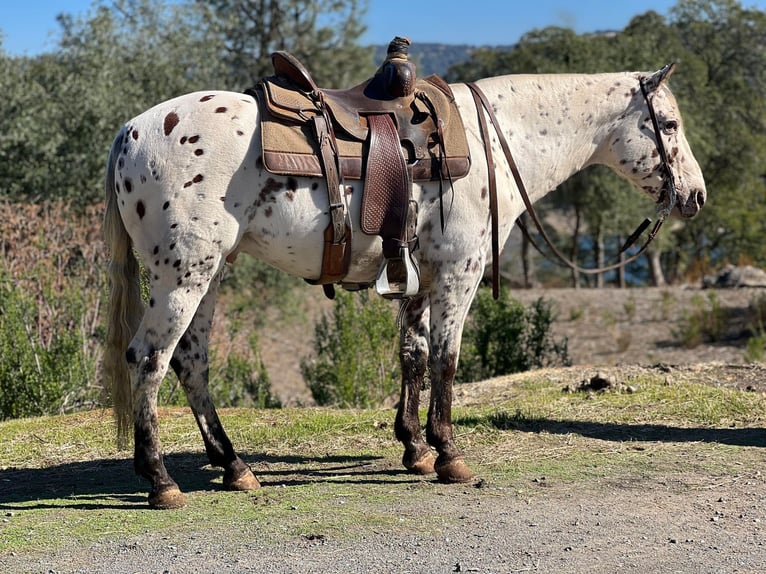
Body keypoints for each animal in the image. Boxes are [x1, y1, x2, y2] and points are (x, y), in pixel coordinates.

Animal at [102, 65, 708, 510]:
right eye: (668, 126)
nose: (696, 196)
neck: (495, 141)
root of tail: (130, 132)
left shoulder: (421, 278)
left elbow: (412, 355)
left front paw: (414, 447)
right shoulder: (460, 274)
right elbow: (446, 359)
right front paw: (449, 454)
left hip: (210, 274)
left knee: (191, 362)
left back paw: (234, 467)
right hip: (184, 275)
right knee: (150, 358)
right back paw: (161, 481)